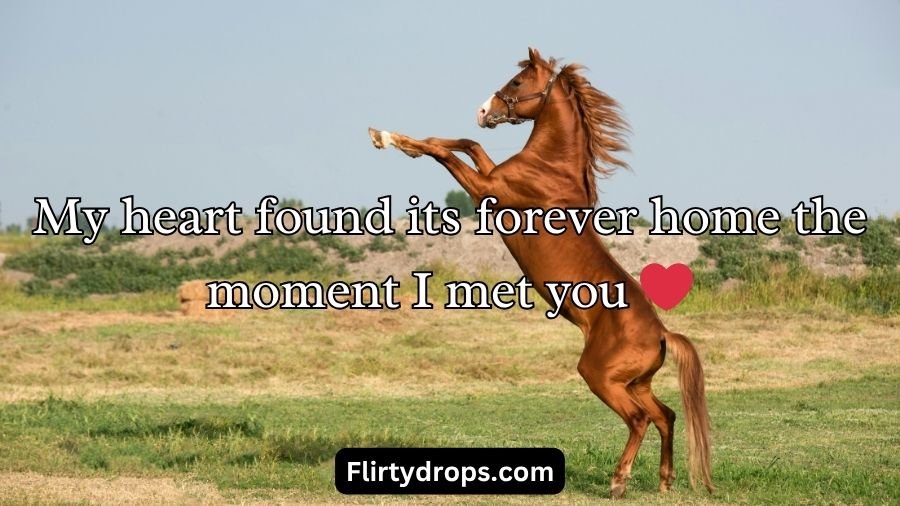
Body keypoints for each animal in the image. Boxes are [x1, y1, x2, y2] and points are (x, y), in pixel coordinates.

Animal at [368, 47, 713, 499]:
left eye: (516, 83)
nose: (483, 111)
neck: (550, 169)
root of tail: (662, 334)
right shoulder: (490, 175)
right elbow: (467, 143)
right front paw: (394, 138)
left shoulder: (488, 191)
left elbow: (451, 153)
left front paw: (391, 139)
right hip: (636, 383)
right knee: (666, 415)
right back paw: (665, 481)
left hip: (601, 378)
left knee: (639, 419)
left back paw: (618, 481)